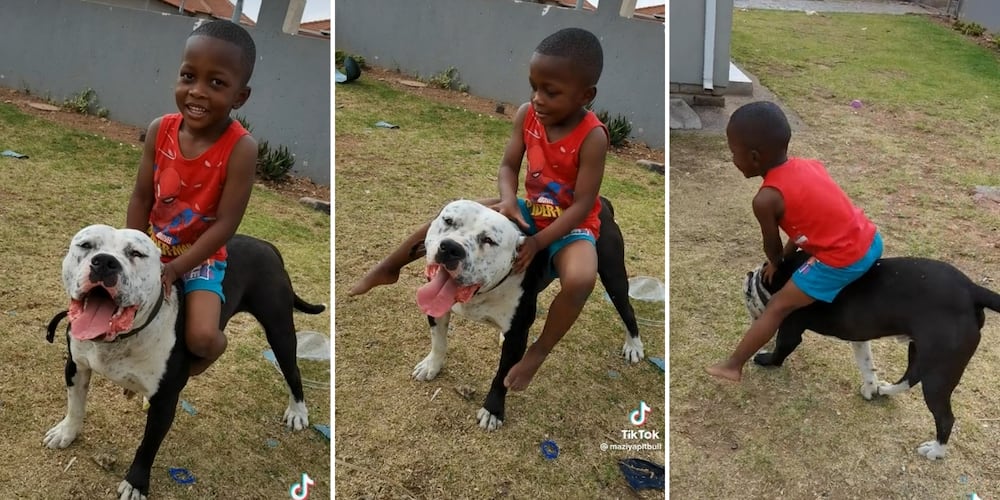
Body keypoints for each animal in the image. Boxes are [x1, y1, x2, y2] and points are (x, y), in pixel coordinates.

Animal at [44, 226, 324, 496]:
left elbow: (148, 445)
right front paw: (66, 432)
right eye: (86, 245)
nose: (104, 262)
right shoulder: (77, 367)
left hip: (279, 330)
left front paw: (136, 484)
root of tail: (266, 245)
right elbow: (75, 406)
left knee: (292, 371)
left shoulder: (165, 401)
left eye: (136, 253)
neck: (119, 339)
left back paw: (298, 411)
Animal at [410, 198, 644, 430]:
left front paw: (493, 410)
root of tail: (603, 203)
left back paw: (634, 345)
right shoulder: (437, 311)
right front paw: (432, 366)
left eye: (488, 240)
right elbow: (438, 342)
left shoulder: (517, 336)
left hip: (613, 276)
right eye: (448, 221)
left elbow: (502, 375)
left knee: (626, 309)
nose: (451, 248)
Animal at [744, 252, 1000, 458]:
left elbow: (780, 350)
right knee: (910, 377)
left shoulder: (790, 330)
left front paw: (765, 359)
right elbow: (867, 366)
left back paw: (936, 451)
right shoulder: (859, 338)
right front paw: (871, 388)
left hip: (938, 375)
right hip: (921, 353)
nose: (747, 276)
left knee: (945, 417)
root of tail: (972, 290)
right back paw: (884, 390)